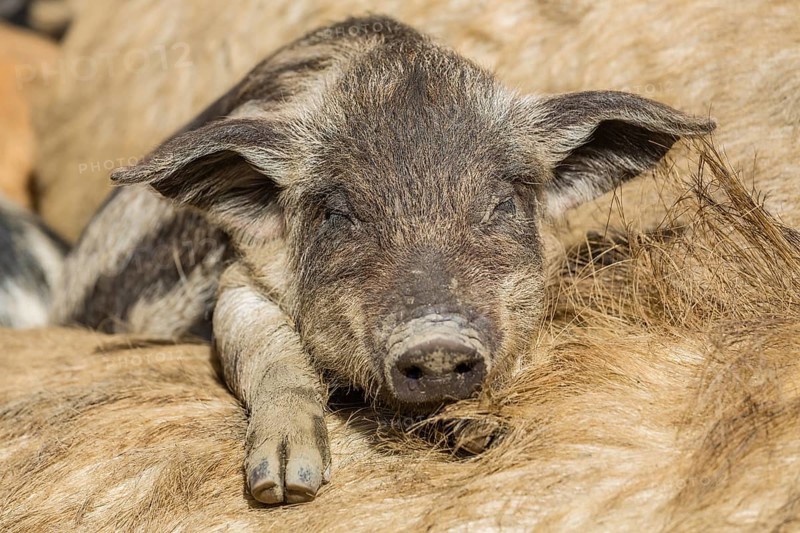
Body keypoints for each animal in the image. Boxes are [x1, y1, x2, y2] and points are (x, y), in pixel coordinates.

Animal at [52, 16, 714, 504]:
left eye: (501, 203)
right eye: (338, 213)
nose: (436, 339)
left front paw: (484, 432)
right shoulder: (242, 274)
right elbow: (267, 350)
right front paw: (286, 488)